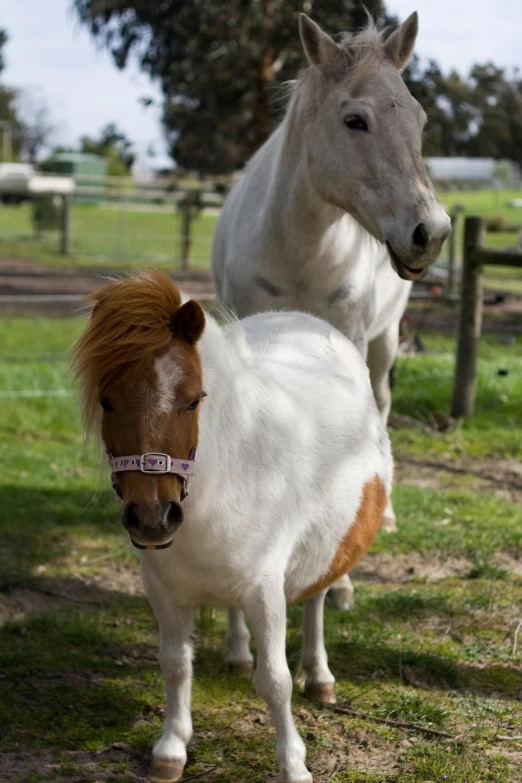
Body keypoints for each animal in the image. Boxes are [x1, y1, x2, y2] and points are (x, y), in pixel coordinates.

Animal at [73, 270, 390, 783]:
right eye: (107, 401)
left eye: (192, 401)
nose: (153, 518)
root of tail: (305, 319)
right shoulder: (164, 591)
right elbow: (175, 665)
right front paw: (171, 750)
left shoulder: (266, 591)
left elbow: (276, 682)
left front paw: (294, 765)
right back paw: (239, 653)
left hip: (327, 546)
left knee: (316, 600)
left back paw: (319, 676)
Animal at [211, 12, 450, 608]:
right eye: (354, 120)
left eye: (419, 119)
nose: (432, 233)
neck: (300, 249)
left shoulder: (353, 341)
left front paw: (337, 578)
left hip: (385, 344)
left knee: (382, 408)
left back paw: (384, 515)